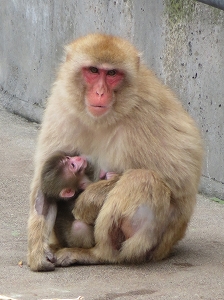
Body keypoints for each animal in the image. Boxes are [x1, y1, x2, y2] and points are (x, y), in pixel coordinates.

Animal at [27, 33, 203, 272]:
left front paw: (88, 199)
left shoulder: (148, 112)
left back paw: (97, 254)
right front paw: (37, 252)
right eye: (93, 70)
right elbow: (44, 186)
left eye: (112, 73)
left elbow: (178, 184)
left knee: (142, 178)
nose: (100, 92)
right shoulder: (61, 105)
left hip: (155, 245)